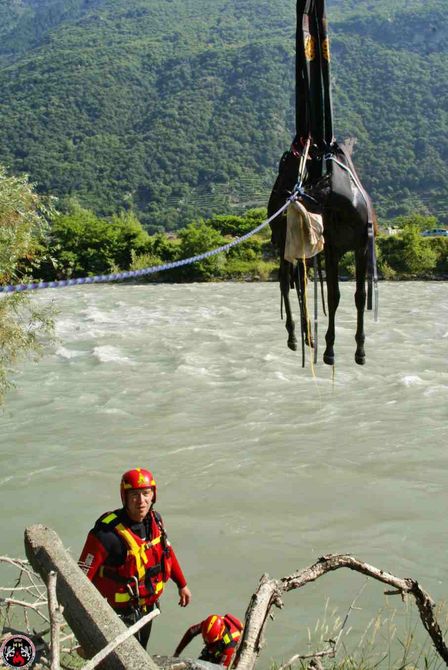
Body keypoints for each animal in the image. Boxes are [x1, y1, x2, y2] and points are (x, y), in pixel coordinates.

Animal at [270, 0, 378, 368]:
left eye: (296, 168)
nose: (285, 197)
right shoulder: (331, 248)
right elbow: (333, 295)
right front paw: (331, 348)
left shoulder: (358, 246)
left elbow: (358, 295)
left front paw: (359, 349)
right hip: (285, 242)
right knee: (288, 283)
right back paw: (298, 336)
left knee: (299, 285)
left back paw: (306, 336)